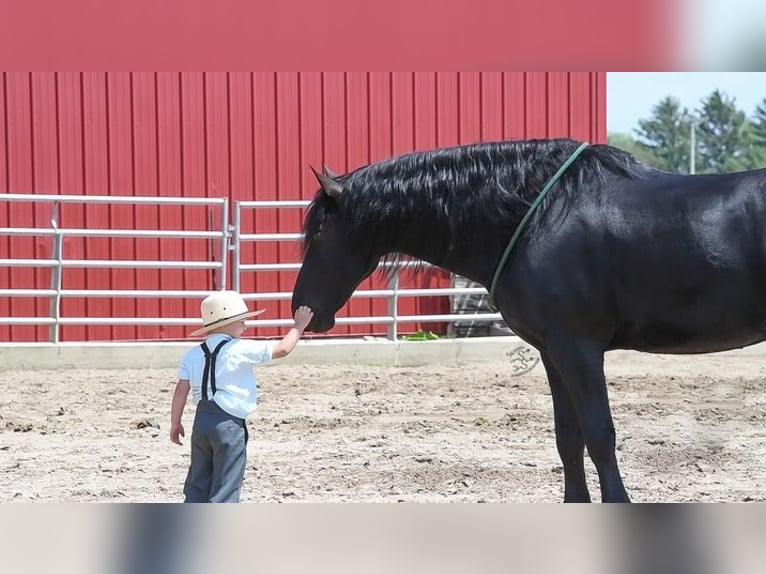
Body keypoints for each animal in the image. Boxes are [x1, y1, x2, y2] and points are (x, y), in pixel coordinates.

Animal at [290, 140, 766, 504]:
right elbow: (568, 438)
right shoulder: (553, 352)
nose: (304, 311)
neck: (539, 216)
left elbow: (600, 436)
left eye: (320, 233)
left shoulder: (578, 349)